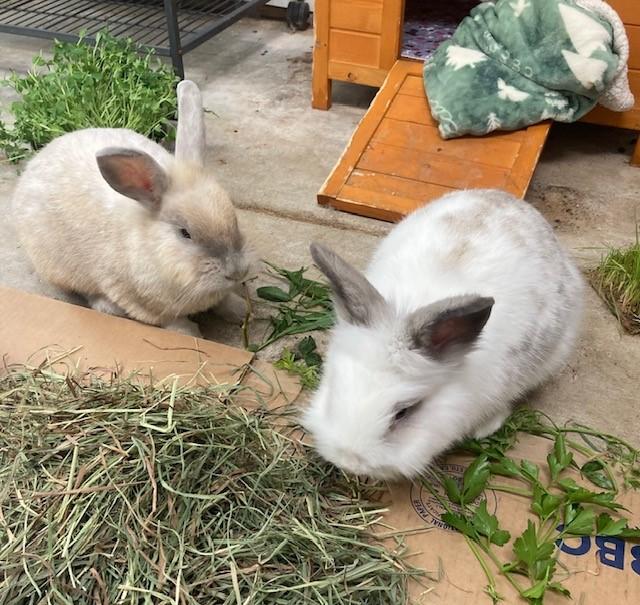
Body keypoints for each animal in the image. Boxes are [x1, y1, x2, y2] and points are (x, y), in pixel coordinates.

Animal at [11, 80, 251, 337]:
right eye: (185, 233)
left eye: (235, 219)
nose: (237, 272)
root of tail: (37, 159)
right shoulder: (143, 302)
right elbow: (174, 321)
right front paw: (191, 335)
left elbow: (224, 301)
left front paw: (241, 310)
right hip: (60, 268)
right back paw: (107, 307)